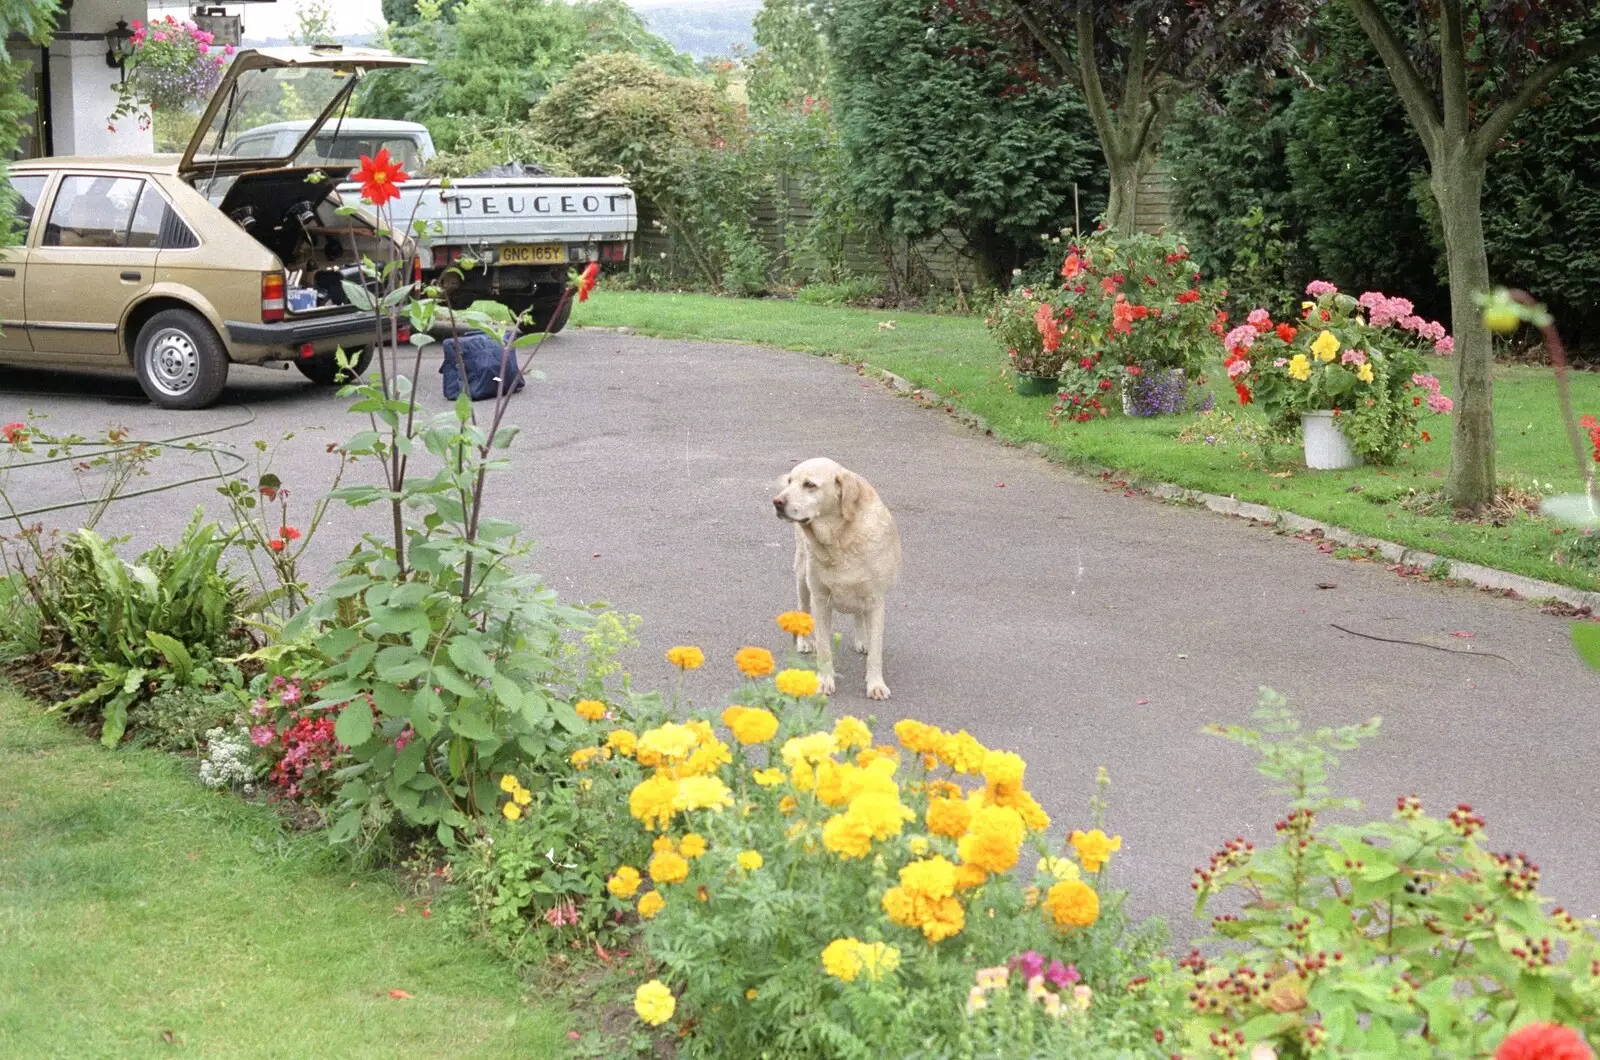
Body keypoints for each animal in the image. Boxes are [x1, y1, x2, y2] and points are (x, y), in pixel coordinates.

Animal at [771, 457, 902, 701]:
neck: (840, 539)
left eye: (810, 485)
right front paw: (824, 681)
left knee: (860, 615)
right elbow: (824, 647)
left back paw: (863, 640)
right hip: (802, 576)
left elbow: (876, 652)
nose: (777, 502)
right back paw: (804, 642)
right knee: (802, 607)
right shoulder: (820, 599)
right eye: (790, 481)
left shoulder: (876, 600)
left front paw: (875, 684)